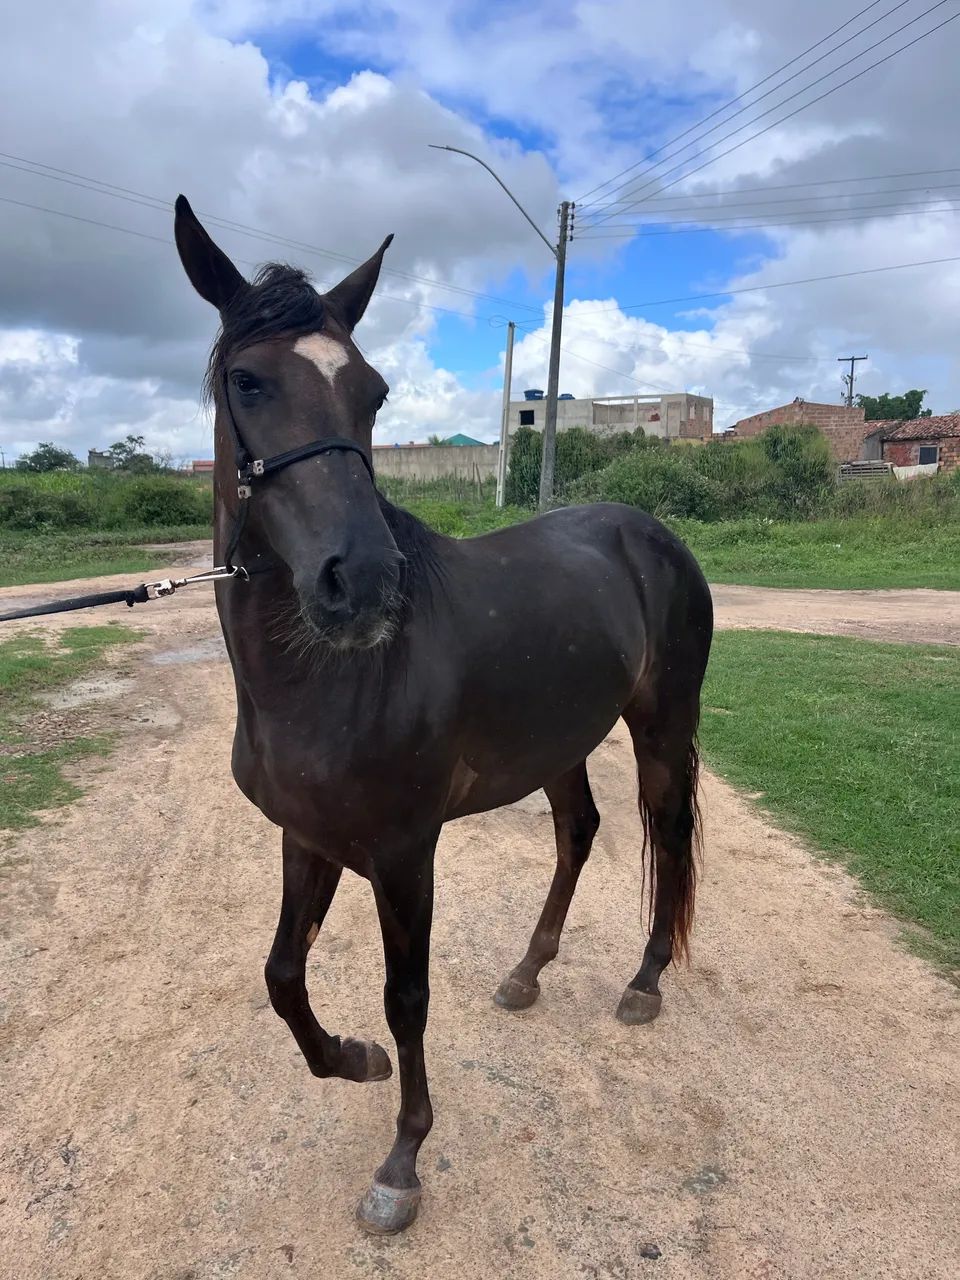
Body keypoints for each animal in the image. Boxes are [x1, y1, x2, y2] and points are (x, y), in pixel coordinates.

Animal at [173, 194, 713, 1235]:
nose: (362, 582)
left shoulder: (403, 851)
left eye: (374, 392)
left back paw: (641, 985)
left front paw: (402, 1161)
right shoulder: (307, 838)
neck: (322, 681)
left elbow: (407, 996)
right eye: (249, 381)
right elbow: (282, 976)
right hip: (561, 741)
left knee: (664, 839)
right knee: (579, 831)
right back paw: (527, 973)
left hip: (663, 727)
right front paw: (351, 1061)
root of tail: (650, 533)